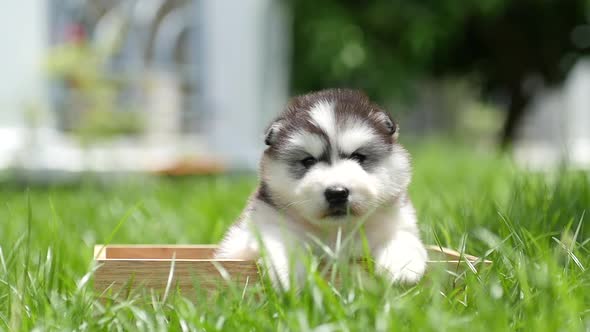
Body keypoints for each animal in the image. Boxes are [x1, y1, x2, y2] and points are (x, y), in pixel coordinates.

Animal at [215, 88, 428, 288]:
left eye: (358, 157)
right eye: (308, 161)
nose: (337, 193)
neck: (336, 231)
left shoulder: (396, 222)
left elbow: (402, 236)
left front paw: (403, 265)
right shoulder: (251, 233)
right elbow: (279, 236)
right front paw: (290, 271)